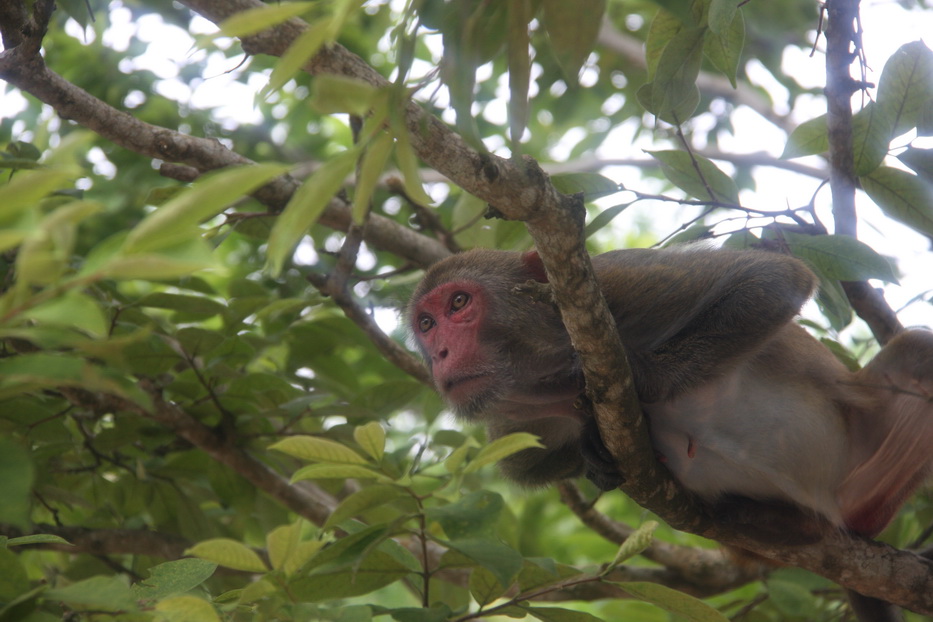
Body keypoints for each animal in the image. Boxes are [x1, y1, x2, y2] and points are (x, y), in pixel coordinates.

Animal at [410, 246, 933, 560]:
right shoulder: (516, 411)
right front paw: (590, 448)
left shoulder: (613, 285)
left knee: (918, 352)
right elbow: (523, 464)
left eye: (459, 303)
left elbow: (773, 278)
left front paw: (645, 379)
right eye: (426, 324)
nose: (440, 355)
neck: (547, 369)